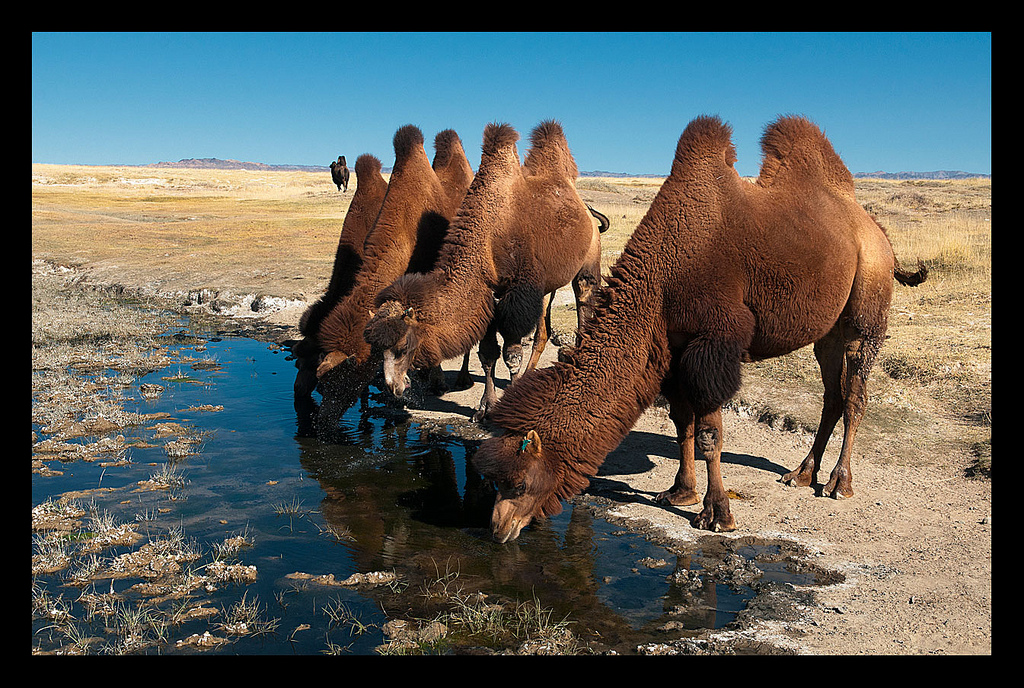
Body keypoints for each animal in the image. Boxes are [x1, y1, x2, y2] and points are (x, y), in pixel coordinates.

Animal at [363, 120, 607, 422]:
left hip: (588, 262)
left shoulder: (516, 294)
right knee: (543, 330)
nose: (393, 386)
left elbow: (511, 354)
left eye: (402, 347)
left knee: (584, 300)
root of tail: (586, 211)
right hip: (547, 286)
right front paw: (484, 407)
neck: (486, 240)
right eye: (378, 350)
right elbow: (488, 353)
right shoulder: (488, 294)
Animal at [471, 115, 927, 543]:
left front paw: (717, 513)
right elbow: (681, 423)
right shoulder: (672, 348)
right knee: (832, 394)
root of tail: (878, 232)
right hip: (827, 332)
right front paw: (680, 492)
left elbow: (709, 434)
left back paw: (838, 482)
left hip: (866, 306)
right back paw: (801, 474)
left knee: (855, 395)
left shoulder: (713, 344)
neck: (663, 280)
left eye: (518, 482)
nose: (498, 529)